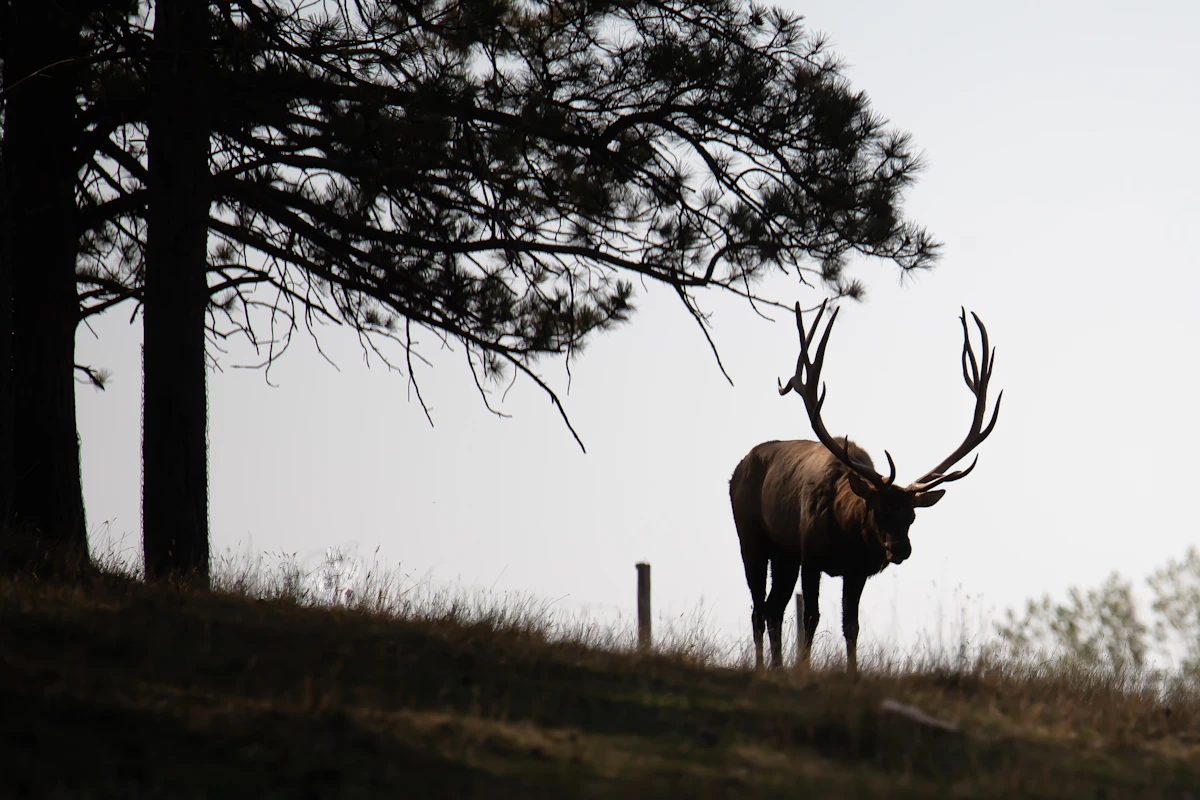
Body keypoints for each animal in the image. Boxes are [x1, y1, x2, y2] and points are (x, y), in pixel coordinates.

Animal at [729, 300, 1001, 673]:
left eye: (911, 517)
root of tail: (737, 470)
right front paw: (804, 669)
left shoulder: (855, 570)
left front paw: (852, 673)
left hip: (785, 554)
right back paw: (763, 668)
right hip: (752, 536)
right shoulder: (811, 554)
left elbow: (852, 625)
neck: (845, 533)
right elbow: (811, 617)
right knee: (759, 609)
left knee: (774, 609)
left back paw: (777, 667)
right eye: (879, 510)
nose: (900, 549)